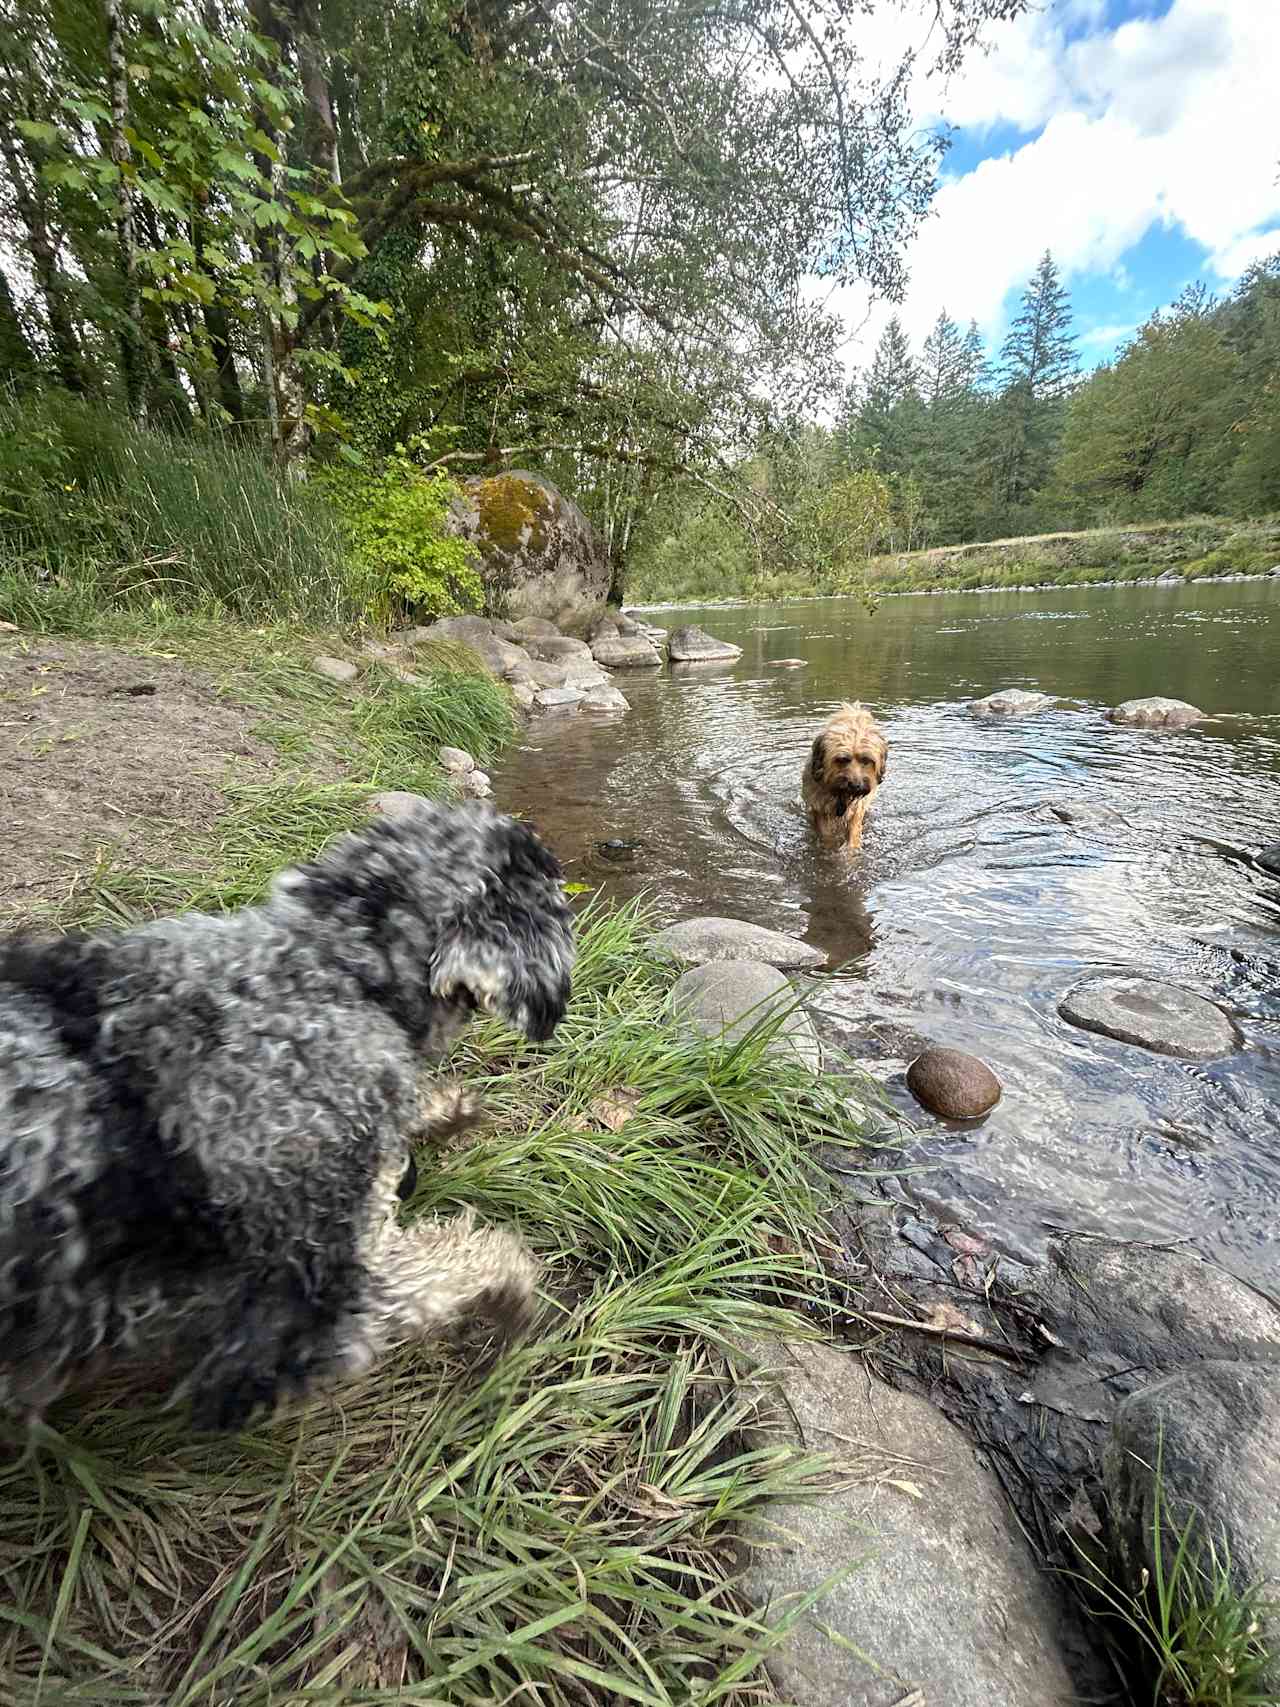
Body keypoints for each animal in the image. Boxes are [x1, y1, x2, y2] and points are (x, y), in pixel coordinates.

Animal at [802, 699, 894, 846]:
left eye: (866, 760)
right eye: (842, 759)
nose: (855, 786)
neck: (841, 795)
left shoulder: (857, 808)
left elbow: (854, 828)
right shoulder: (819, 805)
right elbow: (825, 833)